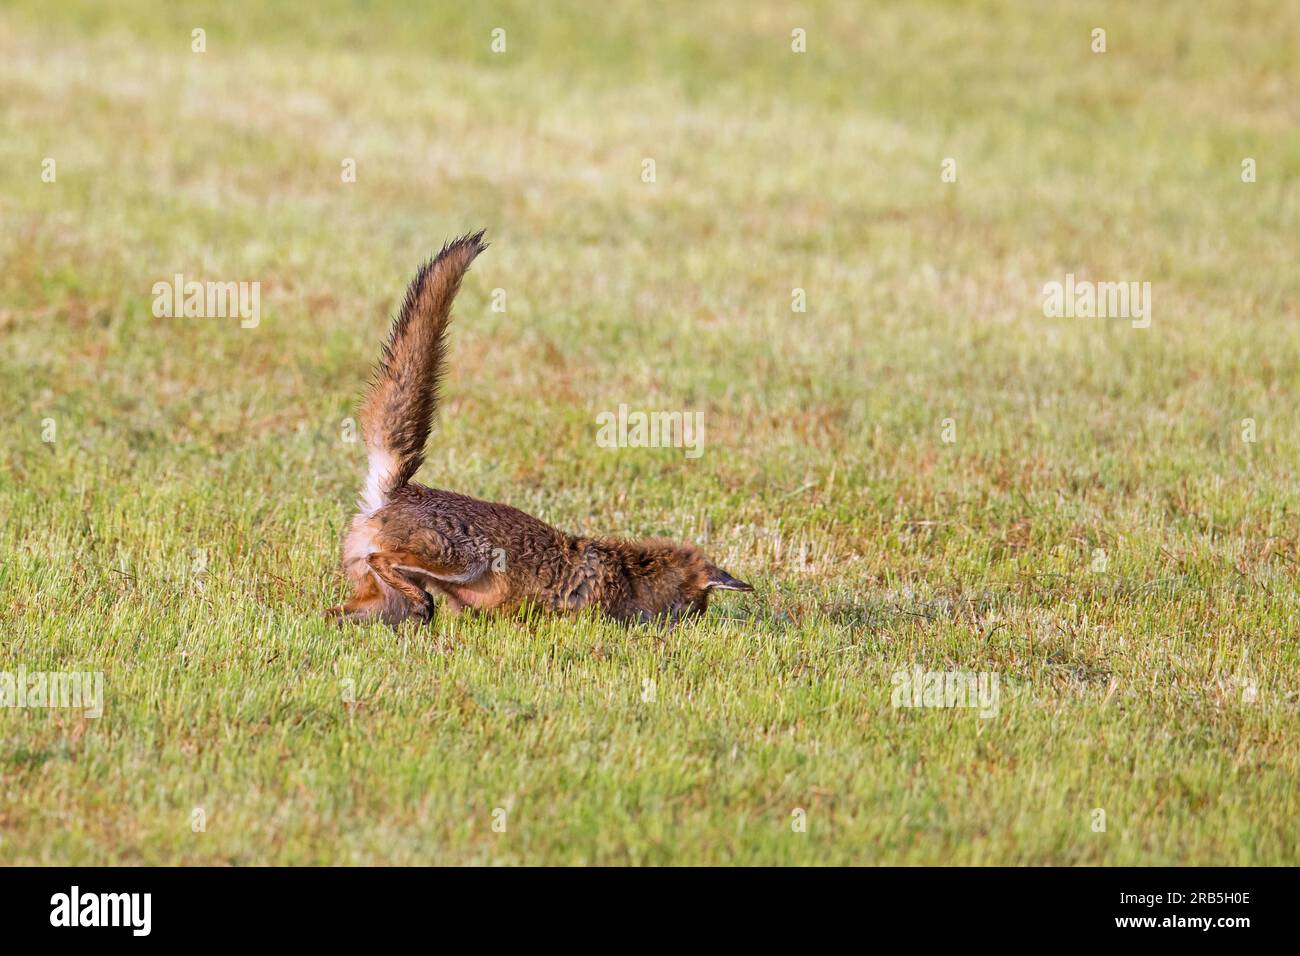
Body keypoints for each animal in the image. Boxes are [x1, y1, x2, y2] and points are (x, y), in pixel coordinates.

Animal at [325, 234, 754, 629]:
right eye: (695, 609)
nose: (693, 627)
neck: (629, 575)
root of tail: (395, 491)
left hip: (381, 605)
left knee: (336, 610)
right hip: (466, 559)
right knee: (386, 562)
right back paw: (424, 604)